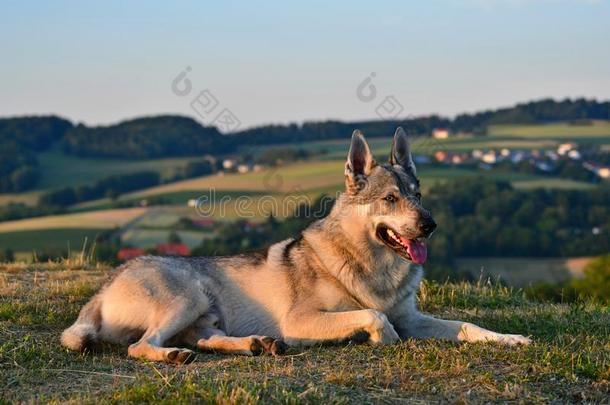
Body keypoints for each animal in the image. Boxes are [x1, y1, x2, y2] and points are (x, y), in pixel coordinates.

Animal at [59, 127, 528, 362]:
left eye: (418, 194)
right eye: (391, 199)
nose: (430, 225)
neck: (374, 269)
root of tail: (103, 287)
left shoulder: (413, 316)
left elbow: (467, 326)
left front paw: (511, 339)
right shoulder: (301, 321)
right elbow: (375, 316)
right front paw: (382, 339)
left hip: (204, 315)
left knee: (207, 341)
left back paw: (256, 345)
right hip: (188, 299)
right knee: (142, 346)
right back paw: (176, 355)